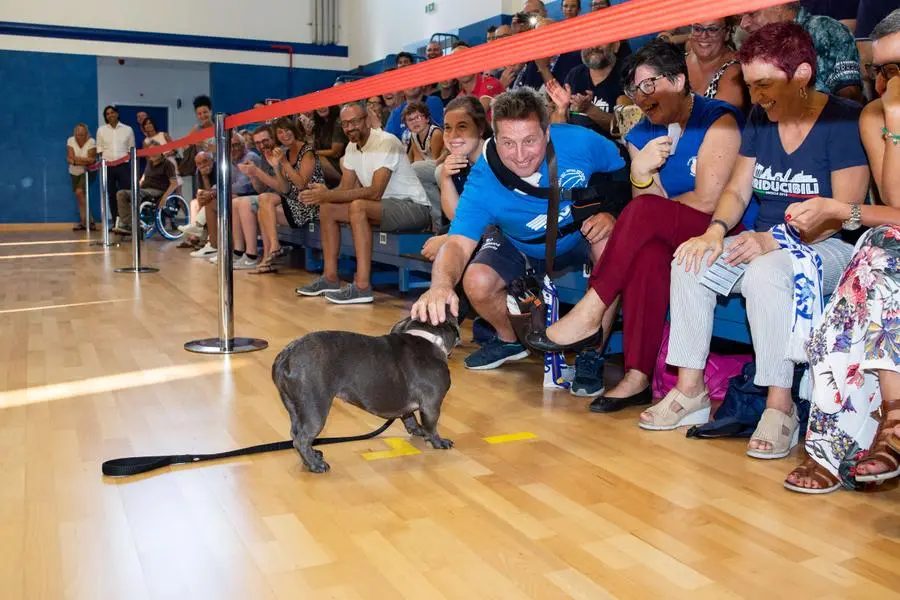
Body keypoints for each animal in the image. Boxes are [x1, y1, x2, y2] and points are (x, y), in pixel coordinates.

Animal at [270, 314, 460, 474]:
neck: (427, 336)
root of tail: (287, 355)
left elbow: (410, 417)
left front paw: (418, 430)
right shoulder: (431, 405)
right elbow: (432, 426)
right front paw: (439, 442)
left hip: (295, 407)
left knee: (296, 433)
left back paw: (313, 455)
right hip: (315, 410)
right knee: (301, 439)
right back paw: (315, 465)